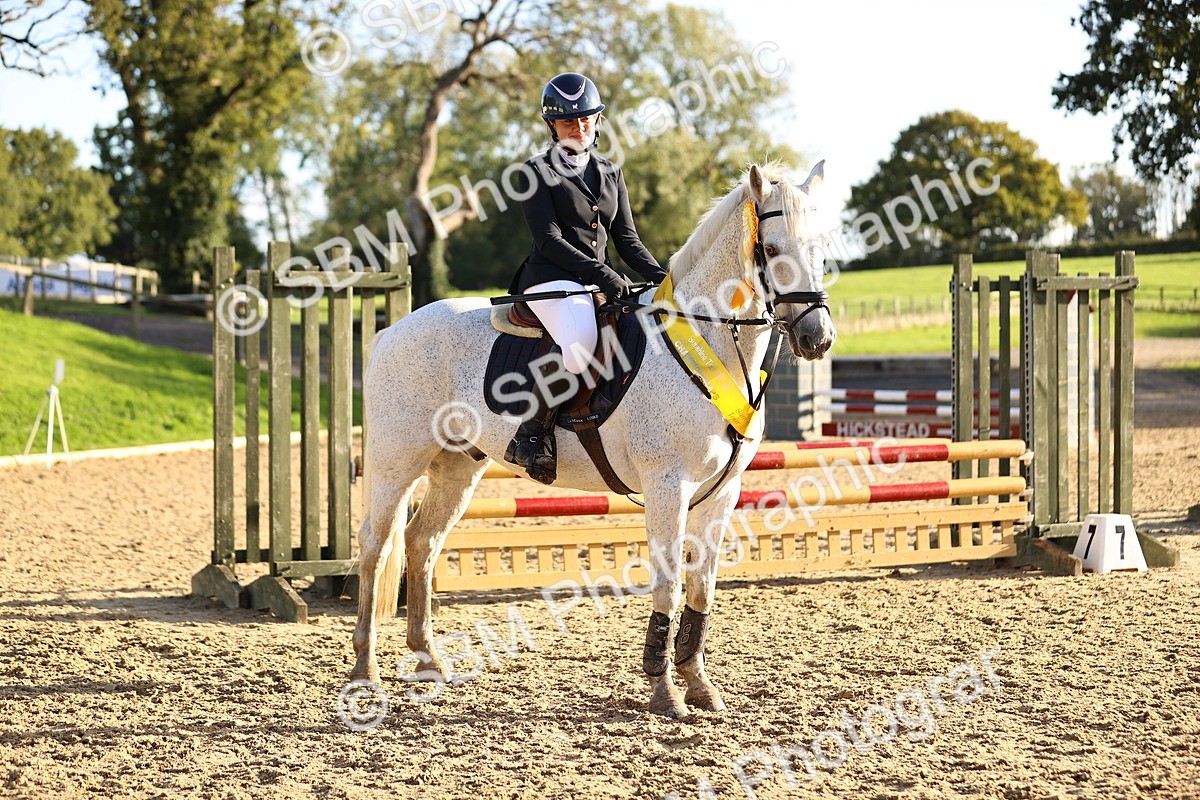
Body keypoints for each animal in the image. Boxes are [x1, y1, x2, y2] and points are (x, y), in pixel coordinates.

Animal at [350, 160, 837, 718]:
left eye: (822, 249)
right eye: (771, 250)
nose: (817, 339)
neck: (709, 337)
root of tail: (391, 330)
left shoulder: (722, 491)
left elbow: (702, 587)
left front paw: (699, 685)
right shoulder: (668, 485)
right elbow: (668, 583)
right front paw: (664, 691)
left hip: (458, 467)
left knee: (421, 541)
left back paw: (429, 660)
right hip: (397, 463)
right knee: (376, 546)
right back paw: (365, 673)